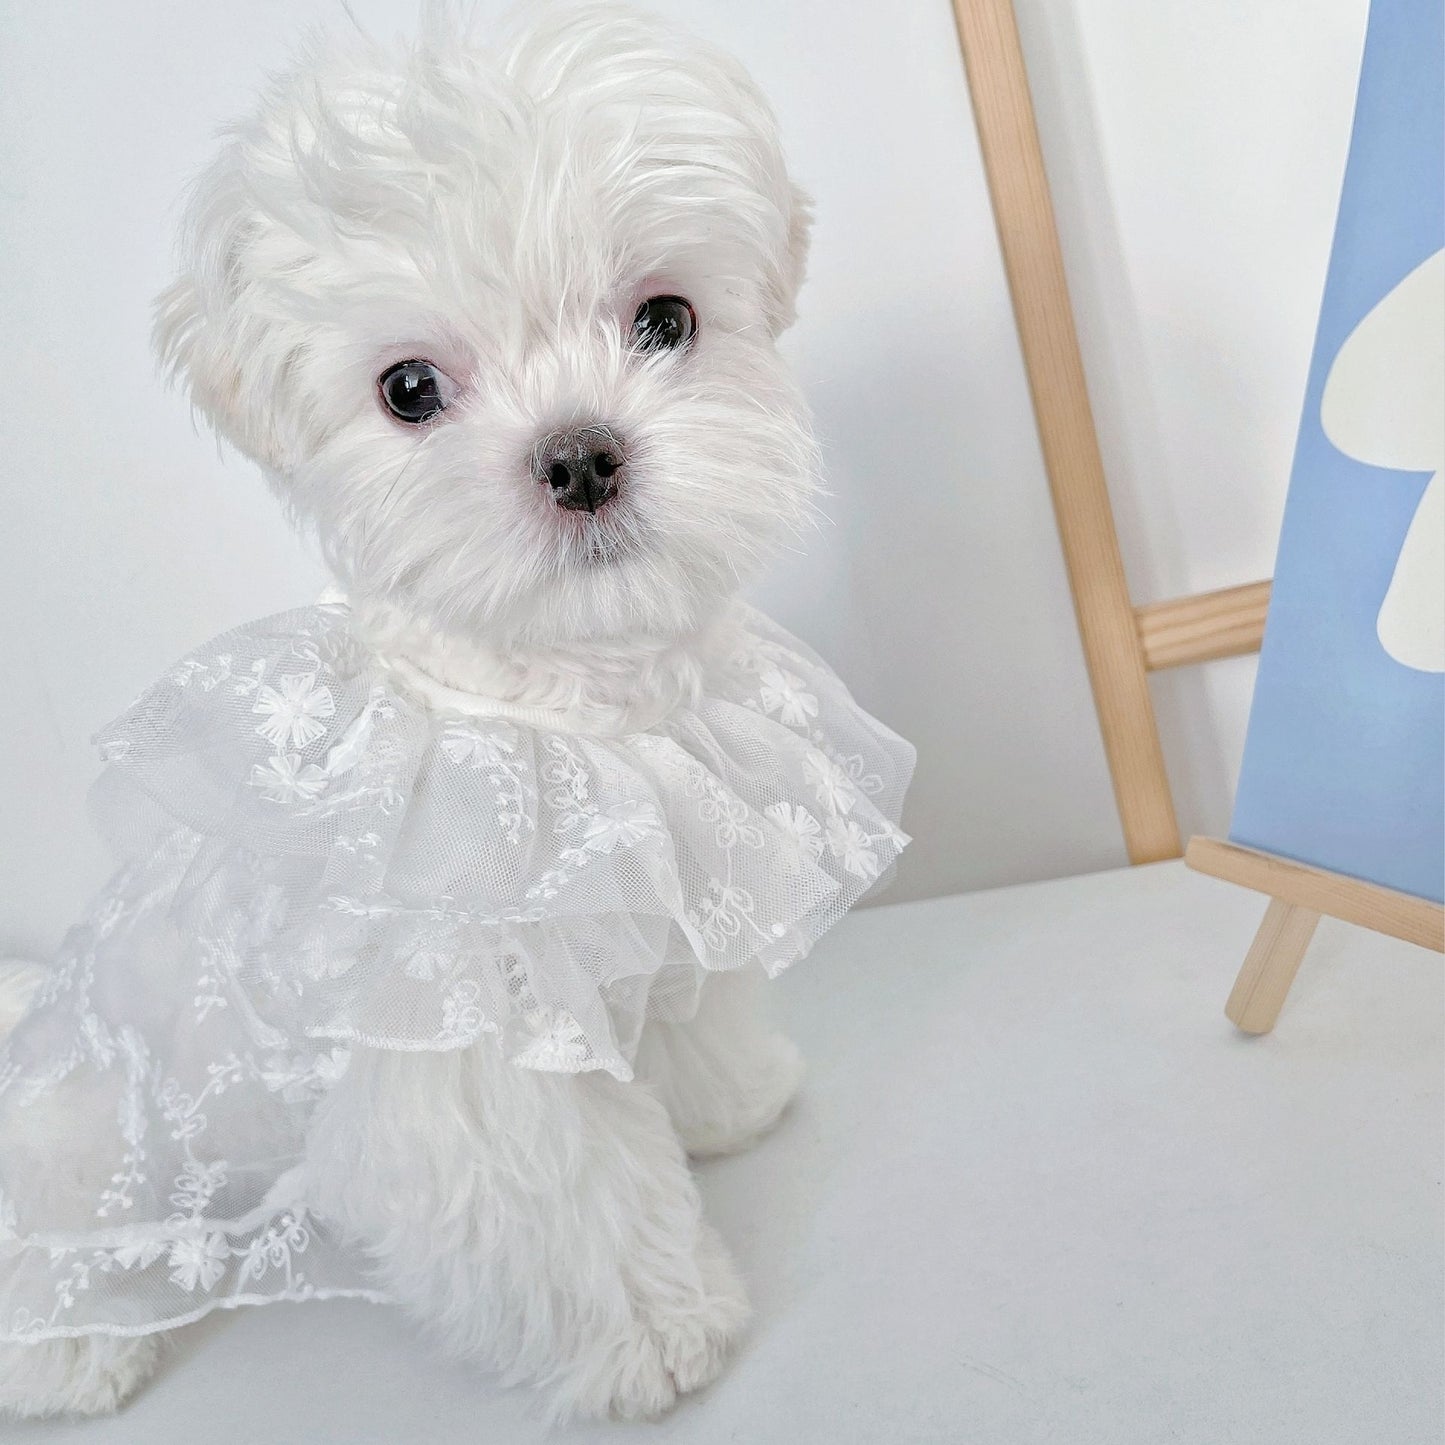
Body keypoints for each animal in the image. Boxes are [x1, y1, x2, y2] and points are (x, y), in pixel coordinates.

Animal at [0, 0, 907, 1421]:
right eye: (408, 388)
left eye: (664, 318)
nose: (580, 455)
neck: (567, 717)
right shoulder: (464, 1045)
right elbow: (560, 1194)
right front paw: (659, 1332)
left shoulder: (652, 919)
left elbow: (683, 1022)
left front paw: (729, 1100)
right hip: (89, 1145)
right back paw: (67, 1347)